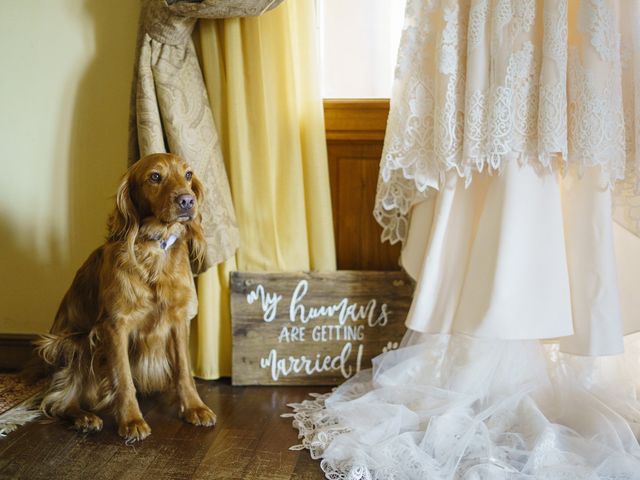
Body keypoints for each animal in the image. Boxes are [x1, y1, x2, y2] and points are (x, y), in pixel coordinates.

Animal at [33, 152, 218, 440]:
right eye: (155, 176)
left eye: (188, 174)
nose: (187, 200)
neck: (154, 248)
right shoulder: (115, 326)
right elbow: (123, 378)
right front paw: (131, 420)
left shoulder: (178, 320)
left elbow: (184, 371)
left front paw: (194, 408)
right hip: (73, 343)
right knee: (58, 402)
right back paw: (84, 417)